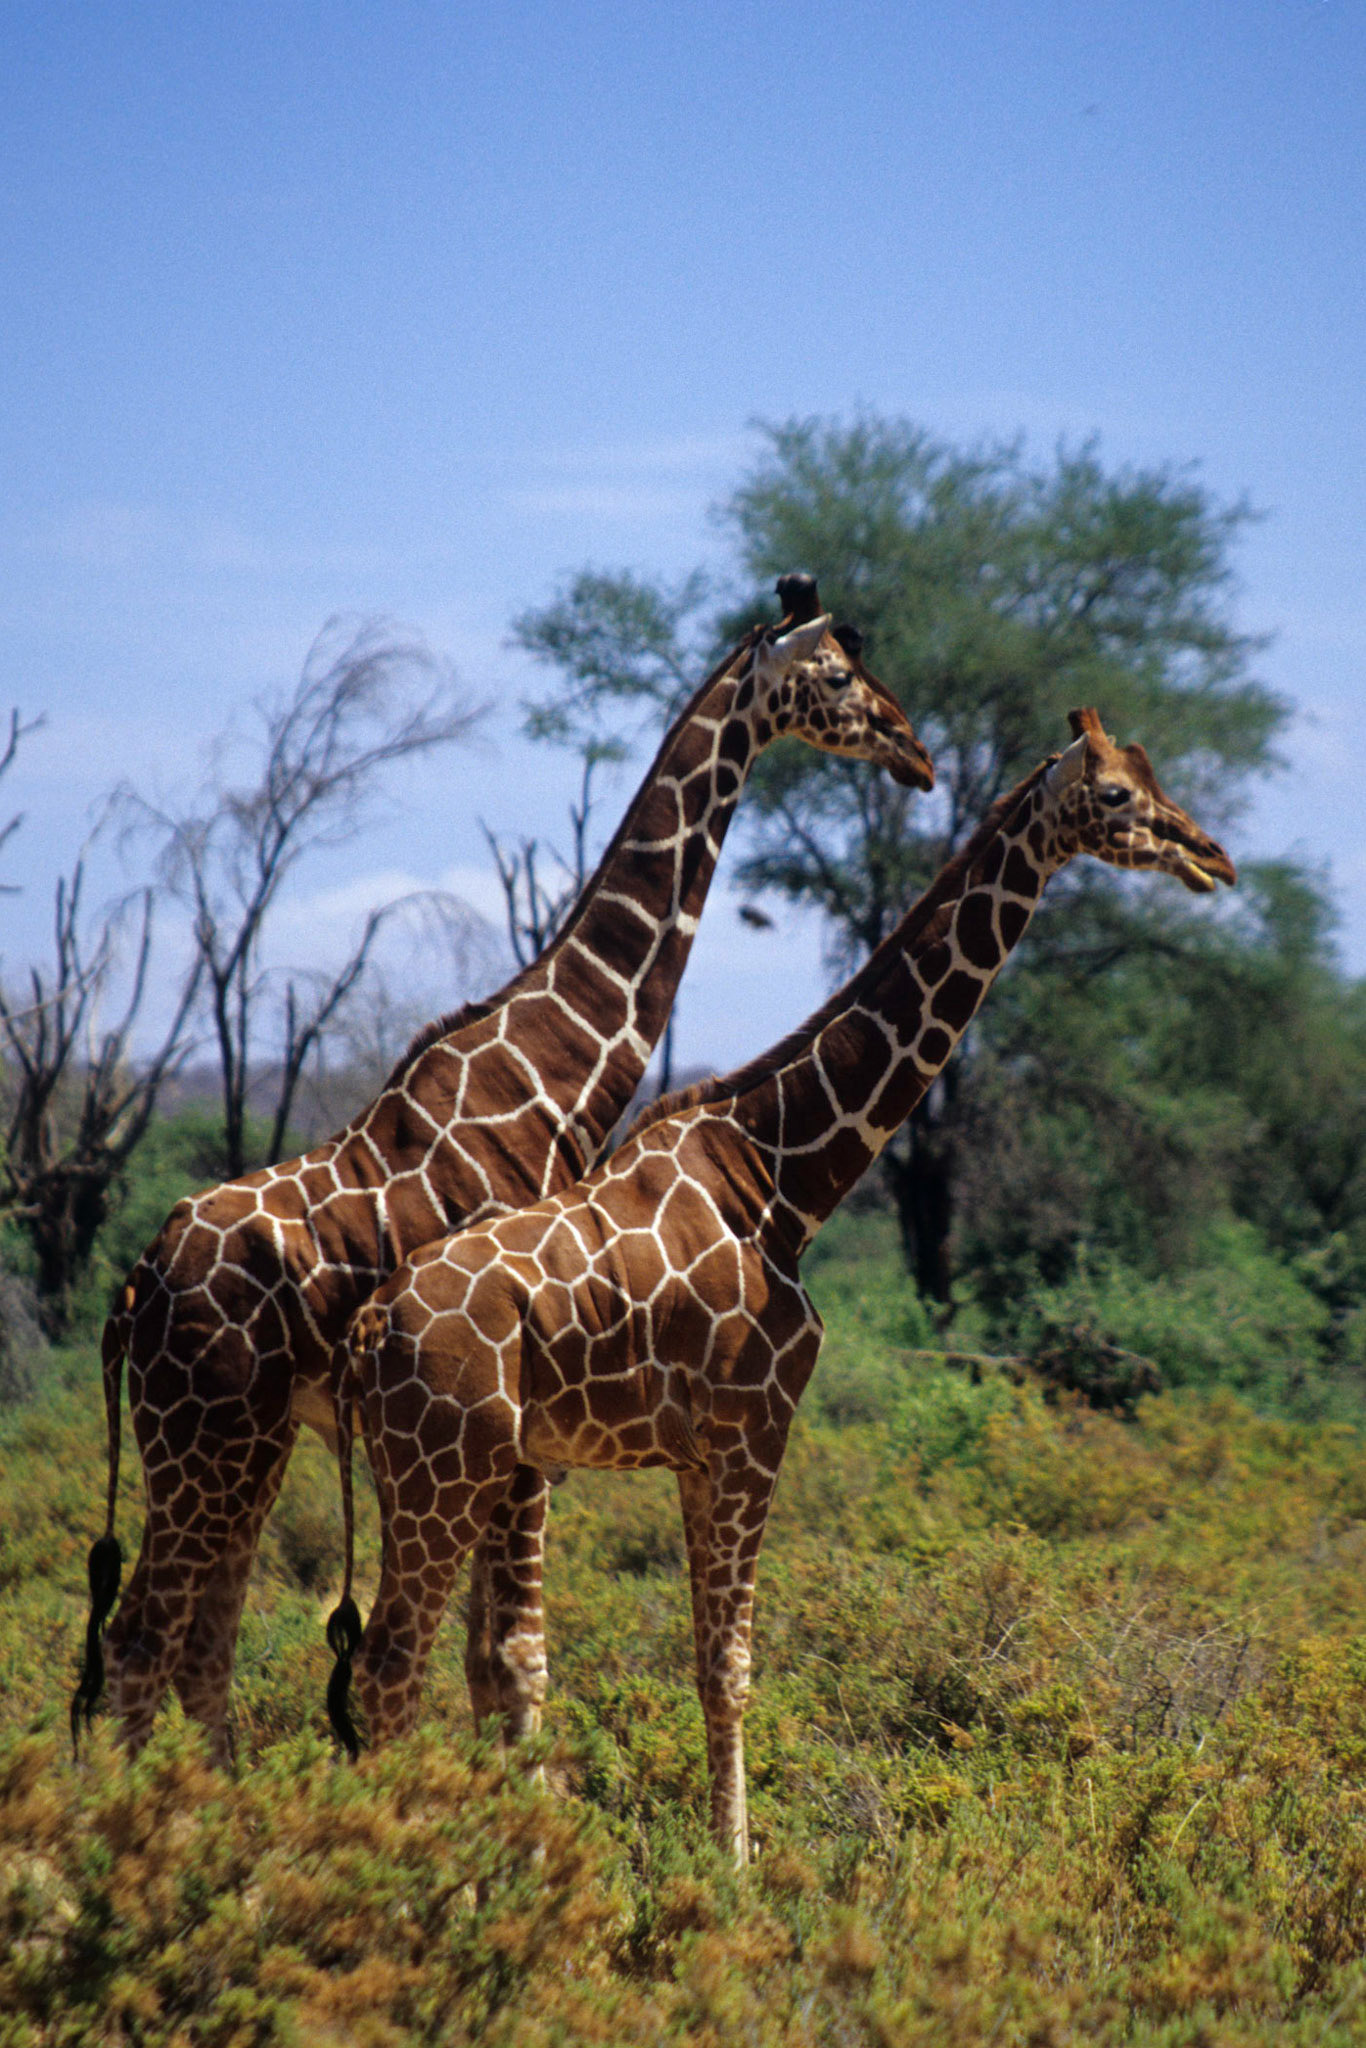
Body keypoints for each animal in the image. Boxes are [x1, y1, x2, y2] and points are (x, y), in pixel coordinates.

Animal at [71, 577, 934, 1760]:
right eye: (840, 675)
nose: (915, 750)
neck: (559, 1065)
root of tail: (134, 1287)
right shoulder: (524, 1426)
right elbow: (507, 1658)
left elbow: (489, 1659)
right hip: (205, 1435)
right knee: (145, 1636)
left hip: (243, 1442)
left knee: (199, 1637)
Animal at [324, 708, 1235, 1863]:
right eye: (1117, 795)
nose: (1212, 857)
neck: (784, 1171)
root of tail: (367, 1332)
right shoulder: (757, 1428)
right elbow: (732, 1667)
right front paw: (737, 1867)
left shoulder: (690, 1452)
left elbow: (703, 1658)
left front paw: (725, 1852)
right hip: (443, 1472)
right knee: (391, 1667)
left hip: (437, 1473)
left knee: (407, 1667)